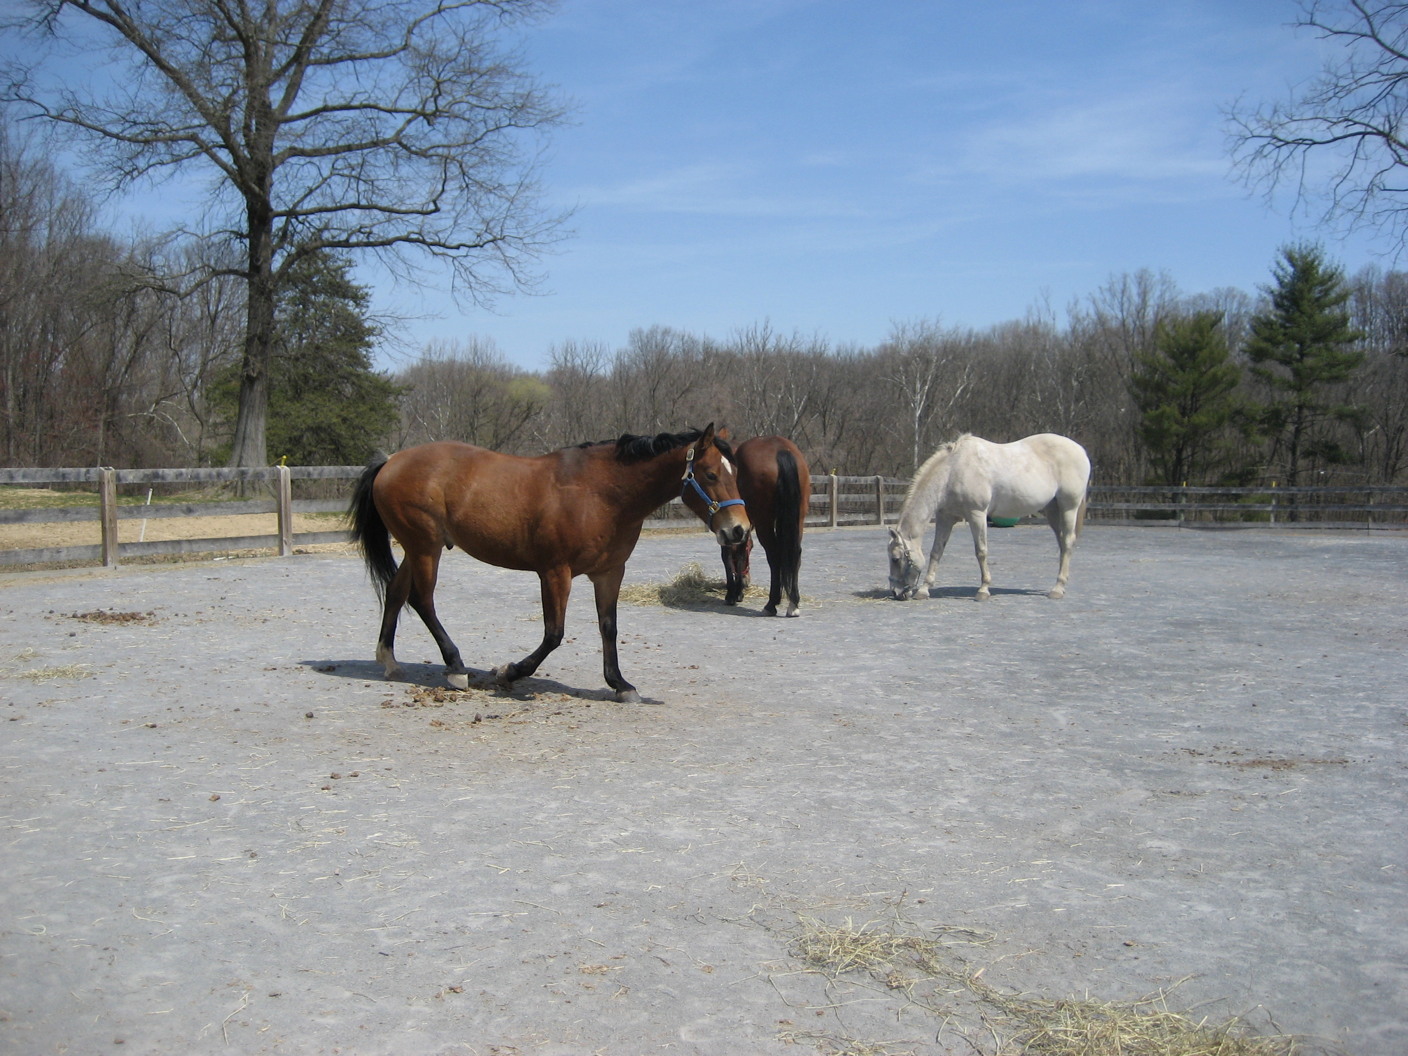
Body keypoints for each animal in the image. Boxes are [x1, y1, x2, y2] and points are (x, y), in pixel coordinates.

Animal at [348, 425, 750, 703]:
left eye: (736, 473)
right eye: (711, 474)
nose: (739, 530)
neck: (601, 493)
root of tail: (392, 461)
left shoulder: (609, 573)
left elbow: (609, 628)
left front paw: (620, 684)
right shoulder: (556, 572)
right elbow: (554, 634)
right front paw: (509, 673)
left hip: (416, 548)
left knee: (396, 591)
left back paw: (390, 661)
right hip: (425, 547)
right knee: (422, 600)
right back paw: (456, 668)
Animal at [683, 435, 811, 616]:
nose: (747, 580)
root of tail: (780, 449)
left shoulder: (729, 528)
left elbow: (728, 555)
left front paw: (732, 593)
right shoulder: (741, 527)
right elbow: (742, 551)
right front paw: (738, 590)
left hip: (764, 521)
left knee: (774, 555)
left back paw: (771, 603)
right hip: (796, 518)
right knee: (795, 553)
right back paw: (793, 603)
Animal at [887, 432, 1090, 601]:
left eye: (895, 558)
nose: (896, 593)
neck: (953, 471)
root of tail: (1080, 450)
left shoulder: (977, 514)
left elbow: (981, 552)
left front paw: (983, 590)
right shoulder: (946, 517)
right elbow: (936, 552)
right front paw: (924, 590)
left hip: (1069, 507)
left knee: (1068, 542)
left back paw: (1057, 589)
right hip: (1053, 510)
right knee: (1062, 544)